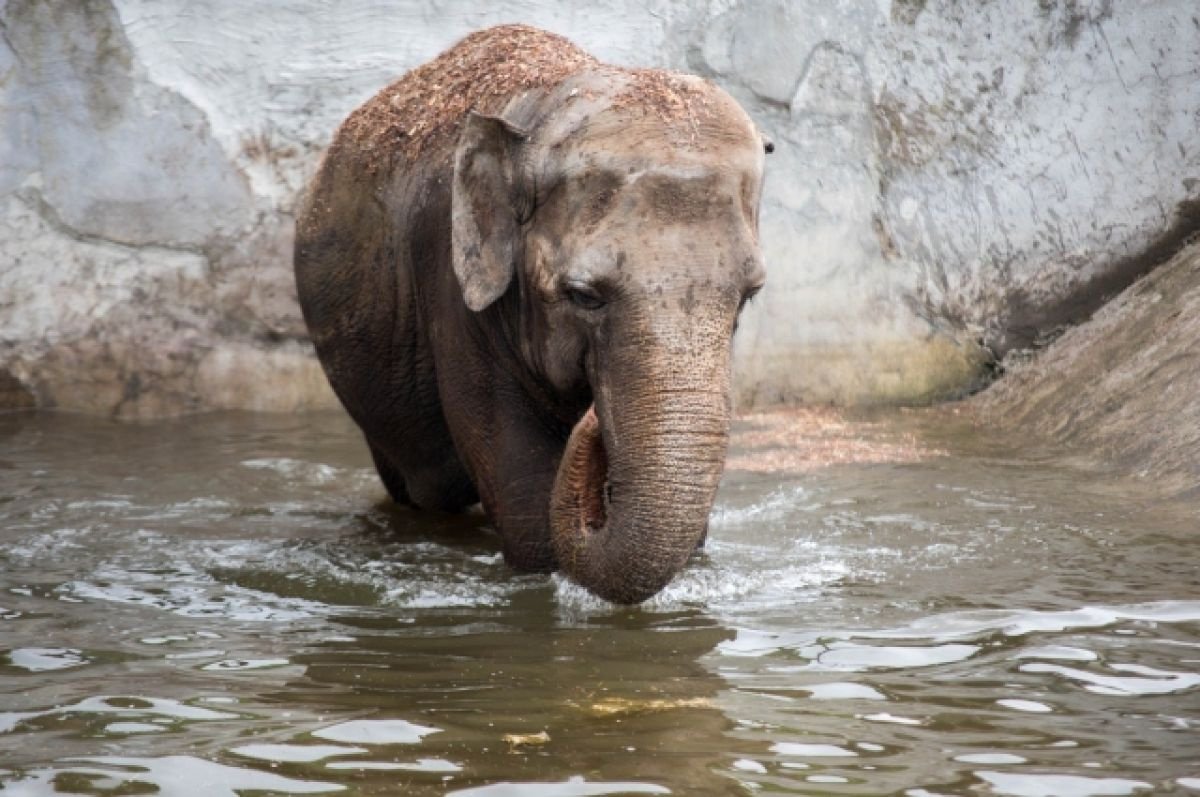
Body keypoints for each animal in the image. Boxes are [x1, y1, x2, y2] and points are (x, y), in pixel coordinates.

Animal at [297, 23, 768, 604]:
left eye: (749, 295)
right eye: (584, 295)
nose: (593, 419)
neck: (549, 103)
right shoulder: (452, 278)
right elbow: (526, 502)